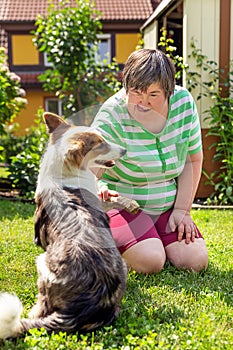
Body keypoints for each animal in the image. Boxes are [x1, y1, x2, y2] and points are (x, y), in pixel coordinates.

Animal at [0, 112, 138, 340]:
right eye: (100, 143)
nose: (125, 150)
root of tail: (79, 310)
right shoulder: (96, 199)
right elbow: (111, 198)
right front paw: (132, 204)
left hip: (42, 263)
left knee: (41, 308)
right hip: (123, 266)